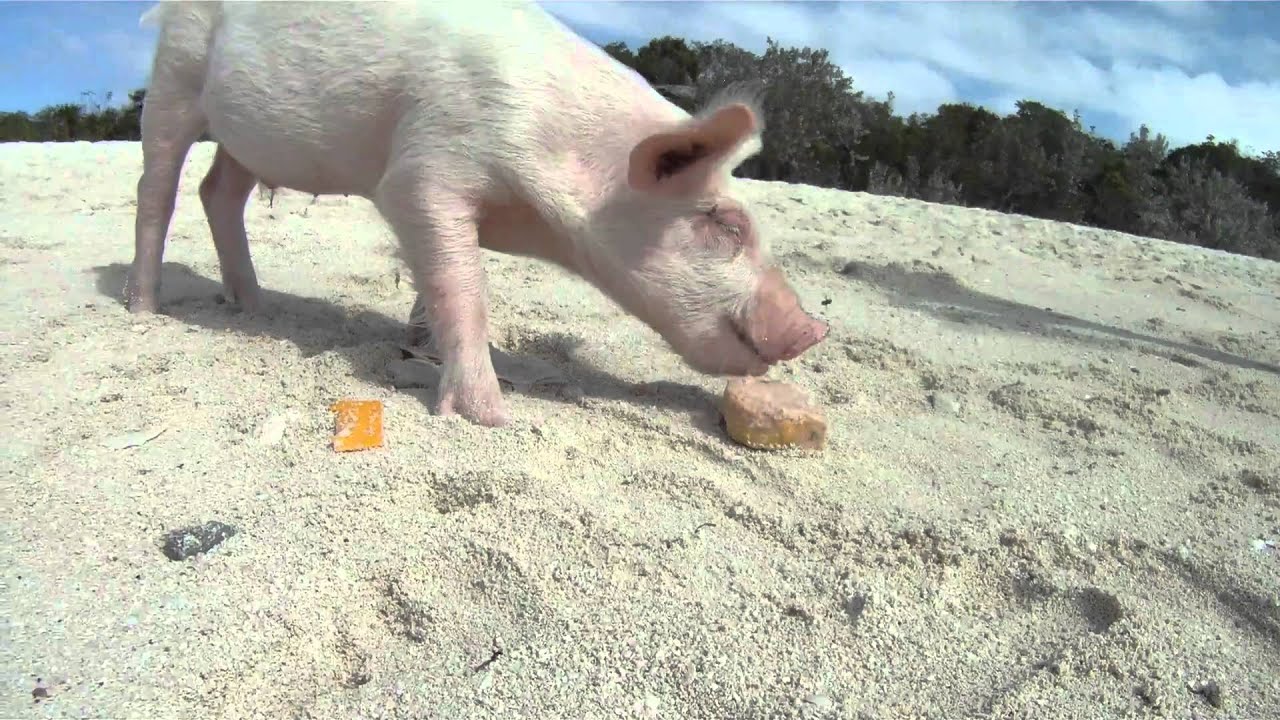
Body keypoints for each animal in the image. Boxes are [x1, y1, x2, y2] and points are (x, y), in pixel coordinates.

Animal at [128, 0, 829, 427]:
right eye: (725, 223)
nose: (813, 329)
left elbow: (439, 283)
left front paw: (416, 345)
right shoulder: (423, 169)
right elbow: (464, 285)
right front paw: (490, 416)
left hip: (244, 136)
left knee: (219, 192)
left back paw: (256, 307)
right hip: (174, 74)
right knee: (157, 188)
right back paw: (144, 309)